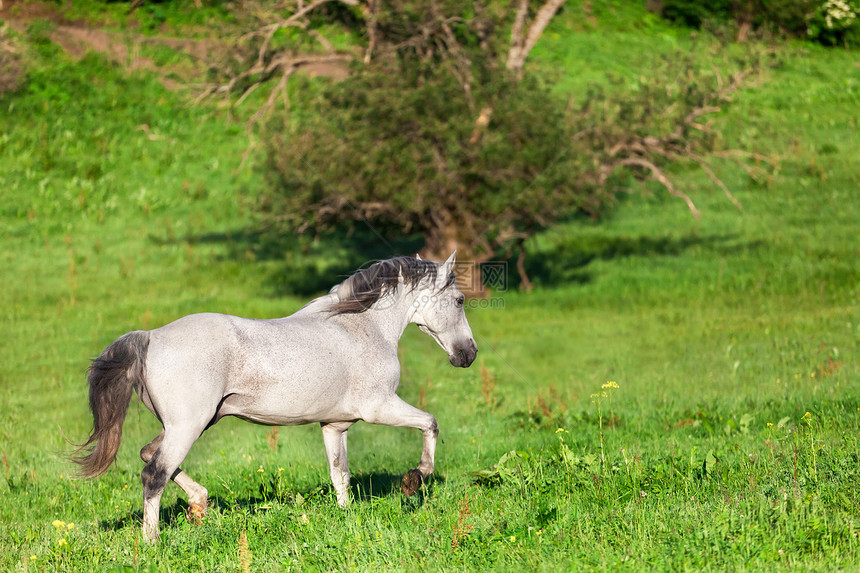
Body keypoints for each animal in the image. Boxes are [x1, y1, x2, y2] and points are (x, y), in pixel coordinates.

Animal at [71, 254, 478, 540]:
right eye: (459, 300)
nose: (468, 354)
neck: (362, 327)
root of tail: (151, 337)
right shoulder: (380, 407)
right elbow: (430, 424)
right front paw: (415, 479)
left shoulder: (334, 425)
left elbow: (340, 475)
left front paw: (346, 517)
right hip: (188, 426)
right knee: (154, 474)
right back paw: (153, 541)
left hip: (189, 424)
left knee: (149, 456)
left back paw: (199, 506)